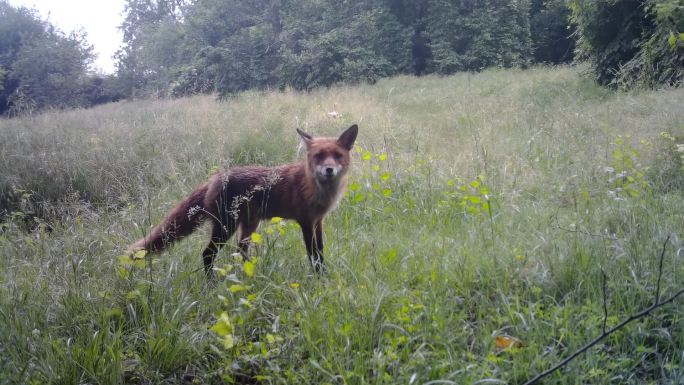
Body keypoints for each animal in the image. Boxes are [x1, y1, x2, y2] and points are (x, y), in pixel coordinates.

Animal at [127, 124, 358, 272]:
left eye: (337, 156)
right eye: (319, 156)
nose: (329, 170)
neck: (317, 189)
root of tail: (215, 177)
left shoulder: (318, 221)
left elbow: (321, 252)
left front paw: (325, 277)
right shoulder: (305, 222)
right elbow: (313, 256)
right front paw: (319, 279)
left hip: (247, 226)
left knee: (239, 253)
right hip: (226, 227)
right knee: (207, 254)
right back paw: (211, 286)